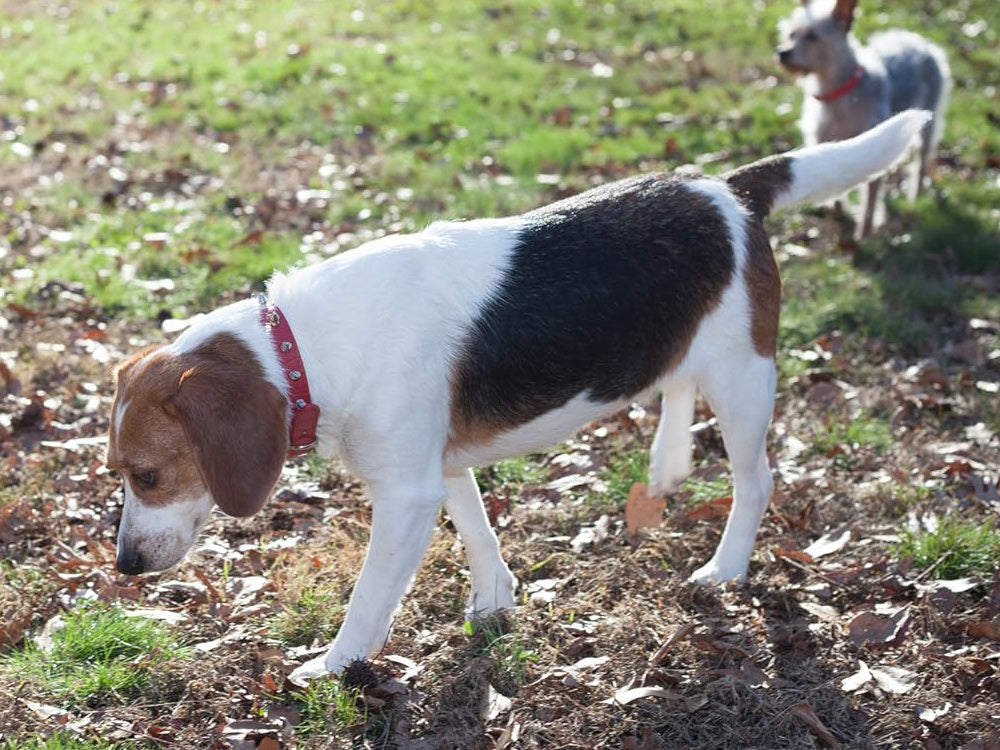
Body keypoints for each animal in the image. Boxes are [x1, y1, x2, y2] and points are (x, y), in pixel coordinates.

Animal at [105, 110, 924, 680]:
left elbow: (370, 598)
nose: (126, 568)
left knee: (756, 480)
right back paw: (666, 465)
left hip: (745, 380)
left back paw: (726, 567)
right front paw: (495, 602)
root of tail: (727, 189)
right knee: (676, 383)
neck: (298, 347)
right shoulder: (439, 466)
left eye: (147, 475)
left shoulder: (404, 494)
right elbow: (479, 533)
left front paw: (334, 666)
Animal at [776, 0, 948, 236]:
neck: (837, 94)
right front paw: (838, 211)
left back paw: (916, 192)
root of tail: (922, 42)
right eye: (792, 34)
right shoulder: (824, 141)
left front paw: (864, 232)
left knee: (922, 158)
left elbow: (871, 197)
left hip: (929, 119)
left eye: (813, 36)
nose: (782, 52)